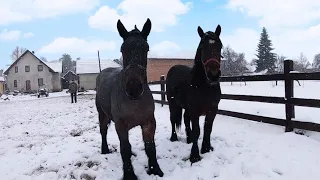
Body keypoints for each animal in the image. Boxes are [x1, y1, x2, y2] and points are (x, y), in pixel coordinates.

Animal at [95, 19, 164, 179]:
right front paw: (129, 175)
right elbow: (124, 148)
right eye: (122, 49)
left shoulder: (149, 123)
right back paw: (104, 149)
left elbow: (150, 147)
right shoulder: (120, 125)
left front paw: (155, 169)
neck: (134, 101)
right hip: (102, 115)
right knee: (103, 131)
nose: (134, 88)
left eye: (146, 48)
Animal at [165, 24, 222, 164]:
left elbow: (208, 129)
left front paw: (206, 148)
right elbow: (197, 130)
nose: (213, 75)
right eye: (202, 47)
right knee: (173, 119)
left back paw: (189, 139)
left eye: (220, 46)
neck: (205, 86)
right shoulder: (195, 110)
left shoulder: (213, 110)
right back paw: (174, 138)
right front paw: (195, 155)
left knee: (185, 119)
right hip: (172, 104)